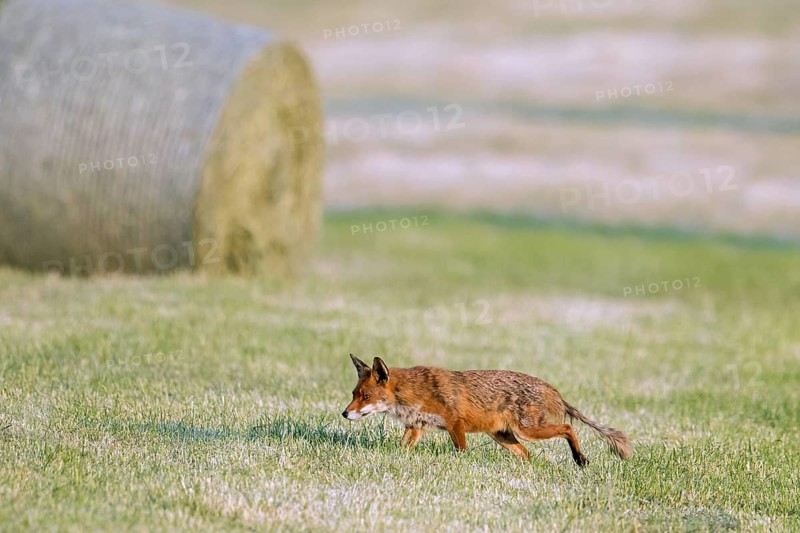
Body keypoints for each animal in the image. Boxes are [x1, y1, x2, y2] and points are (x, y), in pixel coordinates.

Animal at [341, 355, 632, 466]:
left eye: (365, 396)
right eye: (354, 395)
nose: (344, 414)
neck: (415, 393)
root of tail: (550, 387)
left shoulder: (454, 423)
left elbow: (461, 451)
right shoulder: (416, 427)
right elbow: (402, 448)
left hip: (528, 430)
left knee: (568, 427)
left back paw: (580, 458)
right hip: (504, 437)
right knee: (527, 455)